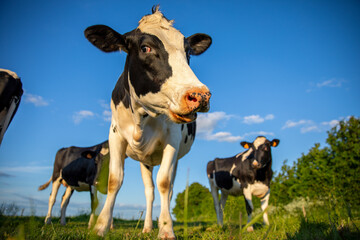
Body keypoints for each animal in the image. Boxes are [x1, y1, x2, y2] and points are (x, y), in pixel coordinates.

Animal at [84, 5, 212, 238]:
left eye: (188, 51)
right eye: (146, 48)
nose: (199, 95)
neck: (141, 118)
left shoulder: (172, 139)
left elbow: (164, 183)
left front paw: (166, 229)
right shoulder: (115, 136)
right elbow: (114, 180)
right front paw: (100, 227)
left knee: (166, 188)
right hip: (145, 160)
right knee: (149, 191)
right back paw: (146, 227)